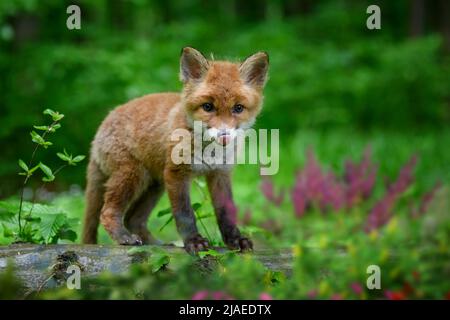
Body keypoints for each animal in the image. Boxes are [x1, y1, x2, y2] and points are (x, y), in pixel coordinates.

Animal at [82, 47, 268, 252]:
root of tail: (101, 127)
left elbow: (226, 214)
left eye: (238, 108)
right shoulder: (176, 174)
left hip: (155, 185)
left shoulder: (220, 174)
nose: (224, 135)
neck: (209, 153)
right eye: (208, 107)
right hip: (133, 175)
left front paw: (235, 240)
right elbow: (184, 214)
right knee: (107, 212)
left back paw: (156, 244)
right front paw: (194, 241)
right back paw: (124, 237)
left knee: (133, 218)